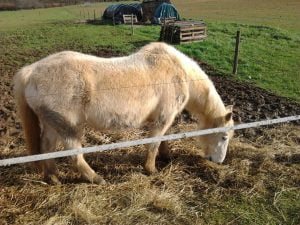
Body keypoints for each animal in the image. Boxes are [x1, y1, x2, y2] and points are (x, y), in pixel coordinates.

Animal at [13, 42, 234, 185]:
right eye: (223, 137)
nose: (219, 161)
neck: (180, 73)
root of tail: (30, 72)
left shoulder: (164, 119)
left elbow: (163, 139)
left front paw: (166, 156)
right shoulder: (162, 118)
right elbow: (153, 143)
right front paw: (150, 169)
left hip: (52, 123)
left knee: (47, 148)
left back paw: (53, 178)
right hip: (68, 125)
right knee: (74, 154)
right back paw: (95, 178)